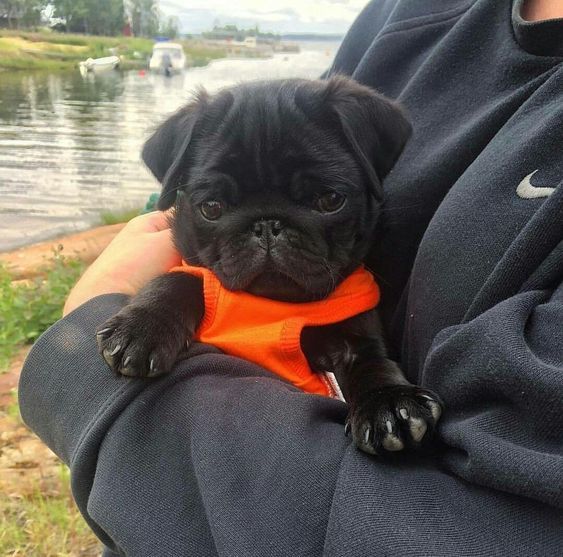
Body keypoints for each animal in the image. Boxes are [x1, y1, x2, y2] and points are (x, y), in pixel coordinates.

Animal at [97, 76, 442, 454]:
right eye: (212, 207)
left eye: (329, 200)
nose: (266, 225)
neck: (274, 307)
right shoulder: (193, 270)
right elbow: (183, 279)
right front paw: (143, 326)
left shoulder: (358, 334)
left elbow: (373, 362)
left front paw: (389, 402)